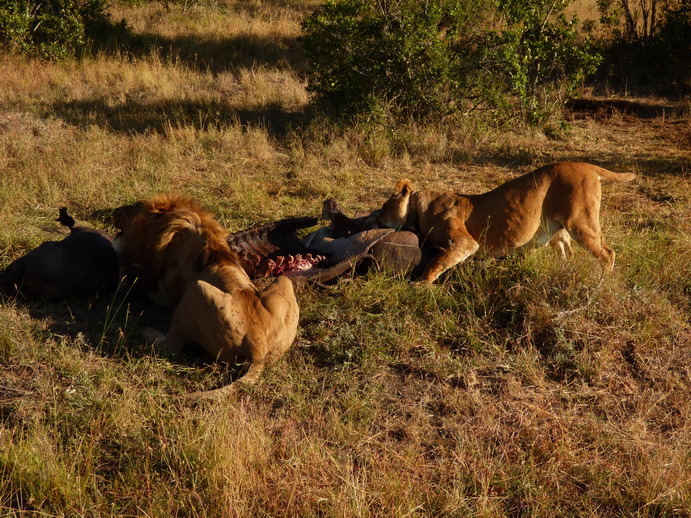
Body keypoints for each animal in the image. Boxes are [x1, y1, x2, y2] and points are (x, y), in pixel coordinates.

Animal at [112, 196, 298, 398]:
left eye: (134, 207)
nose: (114, 212)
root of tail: (257, 343)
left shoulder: (162, 294)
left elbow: (140, 281)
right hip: (284, 281)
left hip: (196, 289)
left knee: (171, 346)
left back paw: (146, 331)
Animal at [376, 162, 636, 284]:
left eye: (383, 207)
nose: (375, 218)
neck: (419, 206)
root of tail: (588, 165)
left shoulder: (464, 242)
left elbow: (436, 263)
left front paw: (420, 285)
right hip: (558, 230)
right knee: (567, 252)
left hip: (580, 221)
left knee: (607, 253)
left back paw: (603, 281)